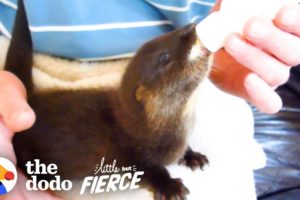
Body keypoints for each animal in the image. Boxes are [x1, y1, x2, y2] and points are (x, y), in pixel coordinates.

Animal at [5, 0, 213, 199]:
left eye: (167, 34)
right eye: (164, 57)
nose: (190, 27)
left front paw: (193, 156)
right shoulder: (130, 155)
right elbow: (149, 173)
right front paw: (171, 187)